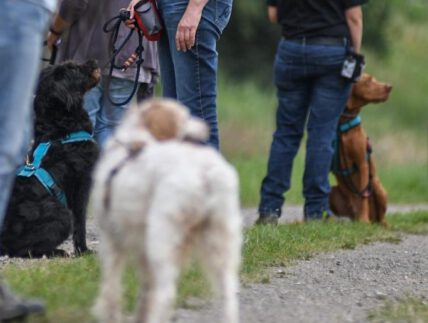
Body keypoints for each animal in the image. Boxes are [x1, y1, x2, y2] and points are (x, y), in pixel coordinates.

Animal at [0, 60, 100, 258]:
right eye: (73, 68)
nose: (95, 62)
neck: (60, 126)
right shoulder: (82, 183)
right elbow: (80, 222)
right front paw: (83, 251)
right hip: (62, 213)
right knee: (23, 250)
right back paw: (58, 252)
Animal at [91, 99, 242, 323]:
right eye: (184, 117)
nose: (204, 127)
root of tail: (205, 172)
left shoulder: (111, 240)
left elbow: (112, 289)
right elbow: (145, 291)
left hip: (163, 238)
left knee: (166, 293)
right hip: (221, 240)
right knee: (229, 291)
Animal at [330, 74, 392, 225]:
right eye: (369, 80)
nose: (390, 87)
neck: (343, 124)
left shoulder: (362, 163)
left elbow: (363, 194)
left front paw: (364, 221)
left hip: (377, 186)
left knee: (381, 218)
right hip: (333, 193)